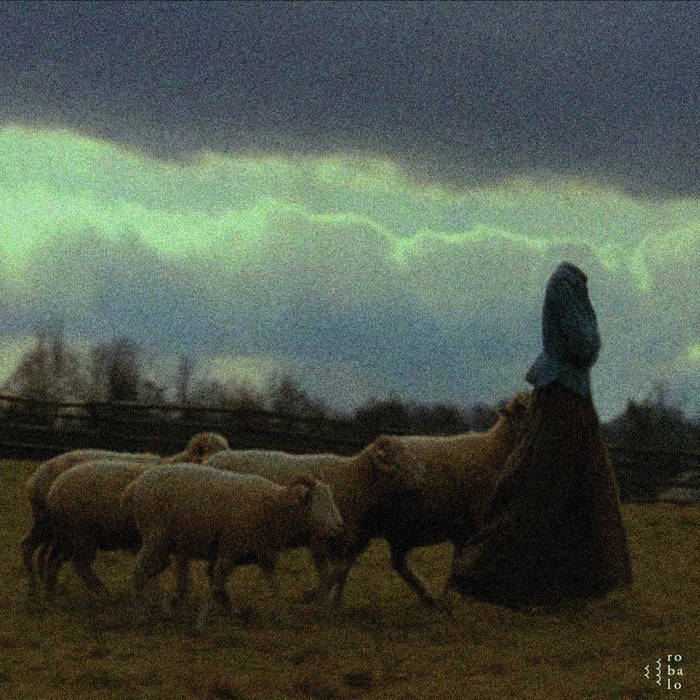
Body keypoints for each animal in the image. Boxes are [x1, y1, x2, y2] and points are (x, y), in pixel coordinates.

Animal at [21, 431, 230, 587]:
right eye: (211, 453)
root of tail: (37, 477)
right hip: (66, 529)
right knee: (39, 550)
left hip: (56, 529)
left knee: (42, 552)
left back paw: (44, 587)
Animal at [121, 464, 344, 627]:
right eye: (317, 501)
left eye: (331, 499)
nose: (339, 527)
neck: (273, 507)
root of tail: (137, 484)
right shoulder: (228, 551)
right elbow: (216, 587)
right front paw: (202, 621)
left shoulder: (264, 555)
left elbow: (276, 586)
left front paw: (285, 618)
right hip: (155, 537)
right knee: (138, 572)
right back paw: (142, 615)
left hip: (165, 543)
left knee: (153, 570)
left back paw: (164, 606)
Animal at [205, 435, 426, 605]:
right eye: (398, 458)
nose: (422, 477)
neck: (353, 478)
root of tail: (211, 460)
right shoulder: (318, 538)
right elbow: (325, 571)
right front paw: (316, 597)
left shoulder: (342, 539)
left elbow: (340, 571)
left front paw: (326, 600)